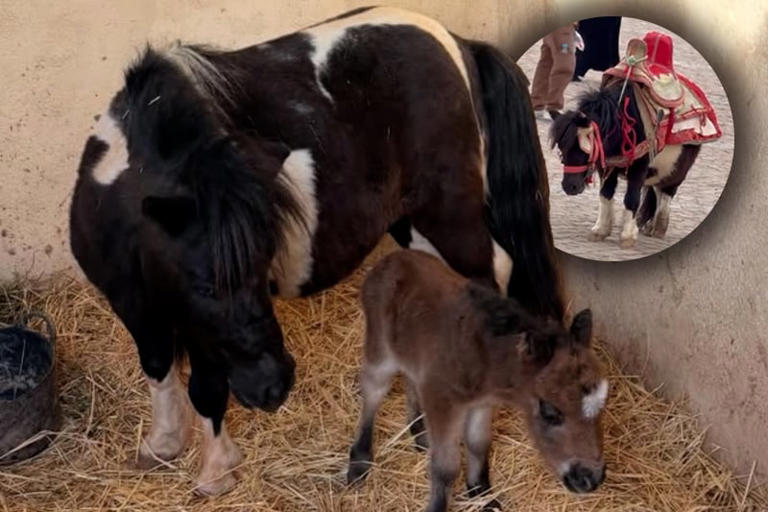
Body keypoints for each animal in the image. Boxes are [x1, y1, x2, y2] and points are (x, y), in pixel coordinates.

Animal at [69, 7, 564, 494]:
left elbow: (206, 389)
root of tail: (458, 45)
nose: (274, 386)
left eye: (260, 267)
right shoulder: (137, 305)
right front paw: (163, 443)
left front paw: (215, 470)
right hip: (413, 226)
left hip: (450, 219)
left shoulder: (200, 330)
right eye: (204, 286)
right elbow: (156, 365)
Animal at [348, 250, 606, 512]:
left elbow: (478, 443)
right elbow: (446, 466)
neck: (484, 356)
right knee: (373, 390)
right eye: (549, 412)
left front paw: (482, 493)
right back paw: (359, 462)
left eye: (602, 407)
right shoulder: (442, 401)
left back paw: (419, 433)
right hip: (381, 351)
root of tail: (389, 259)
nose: (590, 479)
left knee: (410, 378)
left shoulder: (481, 404)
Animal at [550, 84, 700, 248]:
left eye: (583, 148)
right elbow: (605, 194)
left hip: (675, 167)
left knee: (667, 191)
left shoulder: (639, 168)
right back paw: (649, 226)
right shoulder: (607, 166)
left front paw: (627, 236)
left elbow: (631, 198)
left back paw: (659, 227)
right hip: (657, 171)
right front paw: (601, 230)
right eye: (561, 147)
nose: (570, 187)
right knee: (657, 190)